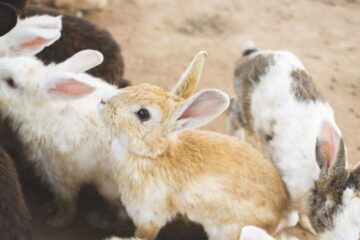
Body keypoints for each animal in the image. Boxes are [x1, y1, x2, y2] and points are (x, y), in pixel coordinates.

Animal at [94, 51, 288, 240]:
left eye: (143, 114)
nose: (103, 101)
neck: (154, 155)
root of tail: (282, 210)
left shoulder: (149, 215)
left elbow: (145, 234)